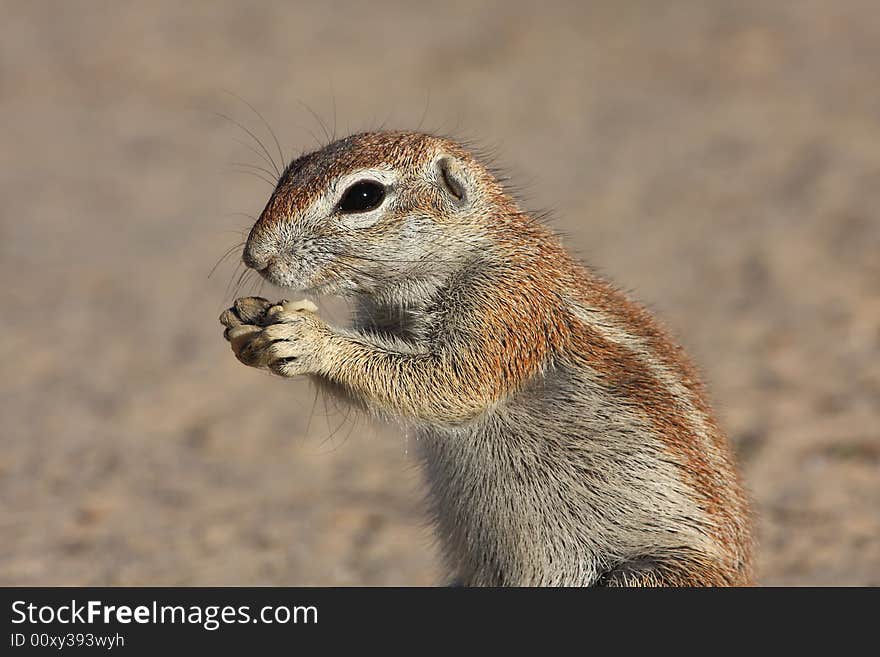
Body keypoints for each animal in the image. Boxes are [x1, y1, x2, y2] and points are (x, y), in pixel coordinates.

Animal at [217, 128, 752, 584]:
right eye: (291, 170)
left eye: (362, 197)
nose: (254, 257)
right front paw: (248, 322)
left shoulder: (505, 307)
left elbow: (454, 385)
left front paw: (308, 337)